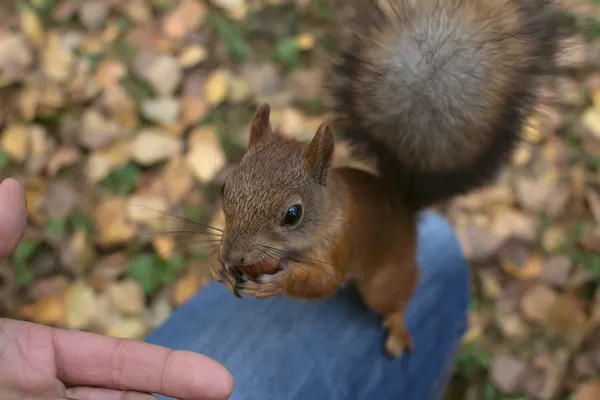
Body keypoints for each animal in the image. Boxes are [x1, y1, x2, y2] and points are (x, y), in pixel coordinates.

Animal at [210, 0, 556, 358]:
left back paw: (398, 328)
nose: (232, 256)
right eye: (224, 188)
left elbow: (325, 283)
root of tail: (404, 207)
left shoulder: (342, 241)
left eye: (293, 214)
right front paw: (215, 264)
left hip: (382, 283)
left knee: (399, 294)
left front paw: (281, 281)